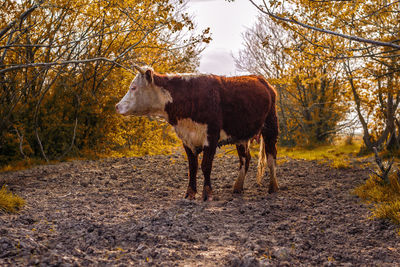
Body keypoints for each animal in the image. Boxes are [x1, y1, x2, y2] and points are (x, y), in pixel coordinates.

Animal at [115, 66, 278, 202]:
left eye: (133, 87)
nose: (117, 106)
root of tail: (261, 80)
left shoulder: (211, 137)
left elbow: (206, 166)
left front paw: (207, 193)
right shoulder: (187, 140)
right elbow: (192, 167)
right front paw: (190, 193)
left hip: (270, 126)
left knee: (271, 156)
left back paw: (273, 187)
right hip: (241, 135)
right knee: (245, 159)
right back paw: (237, 187)